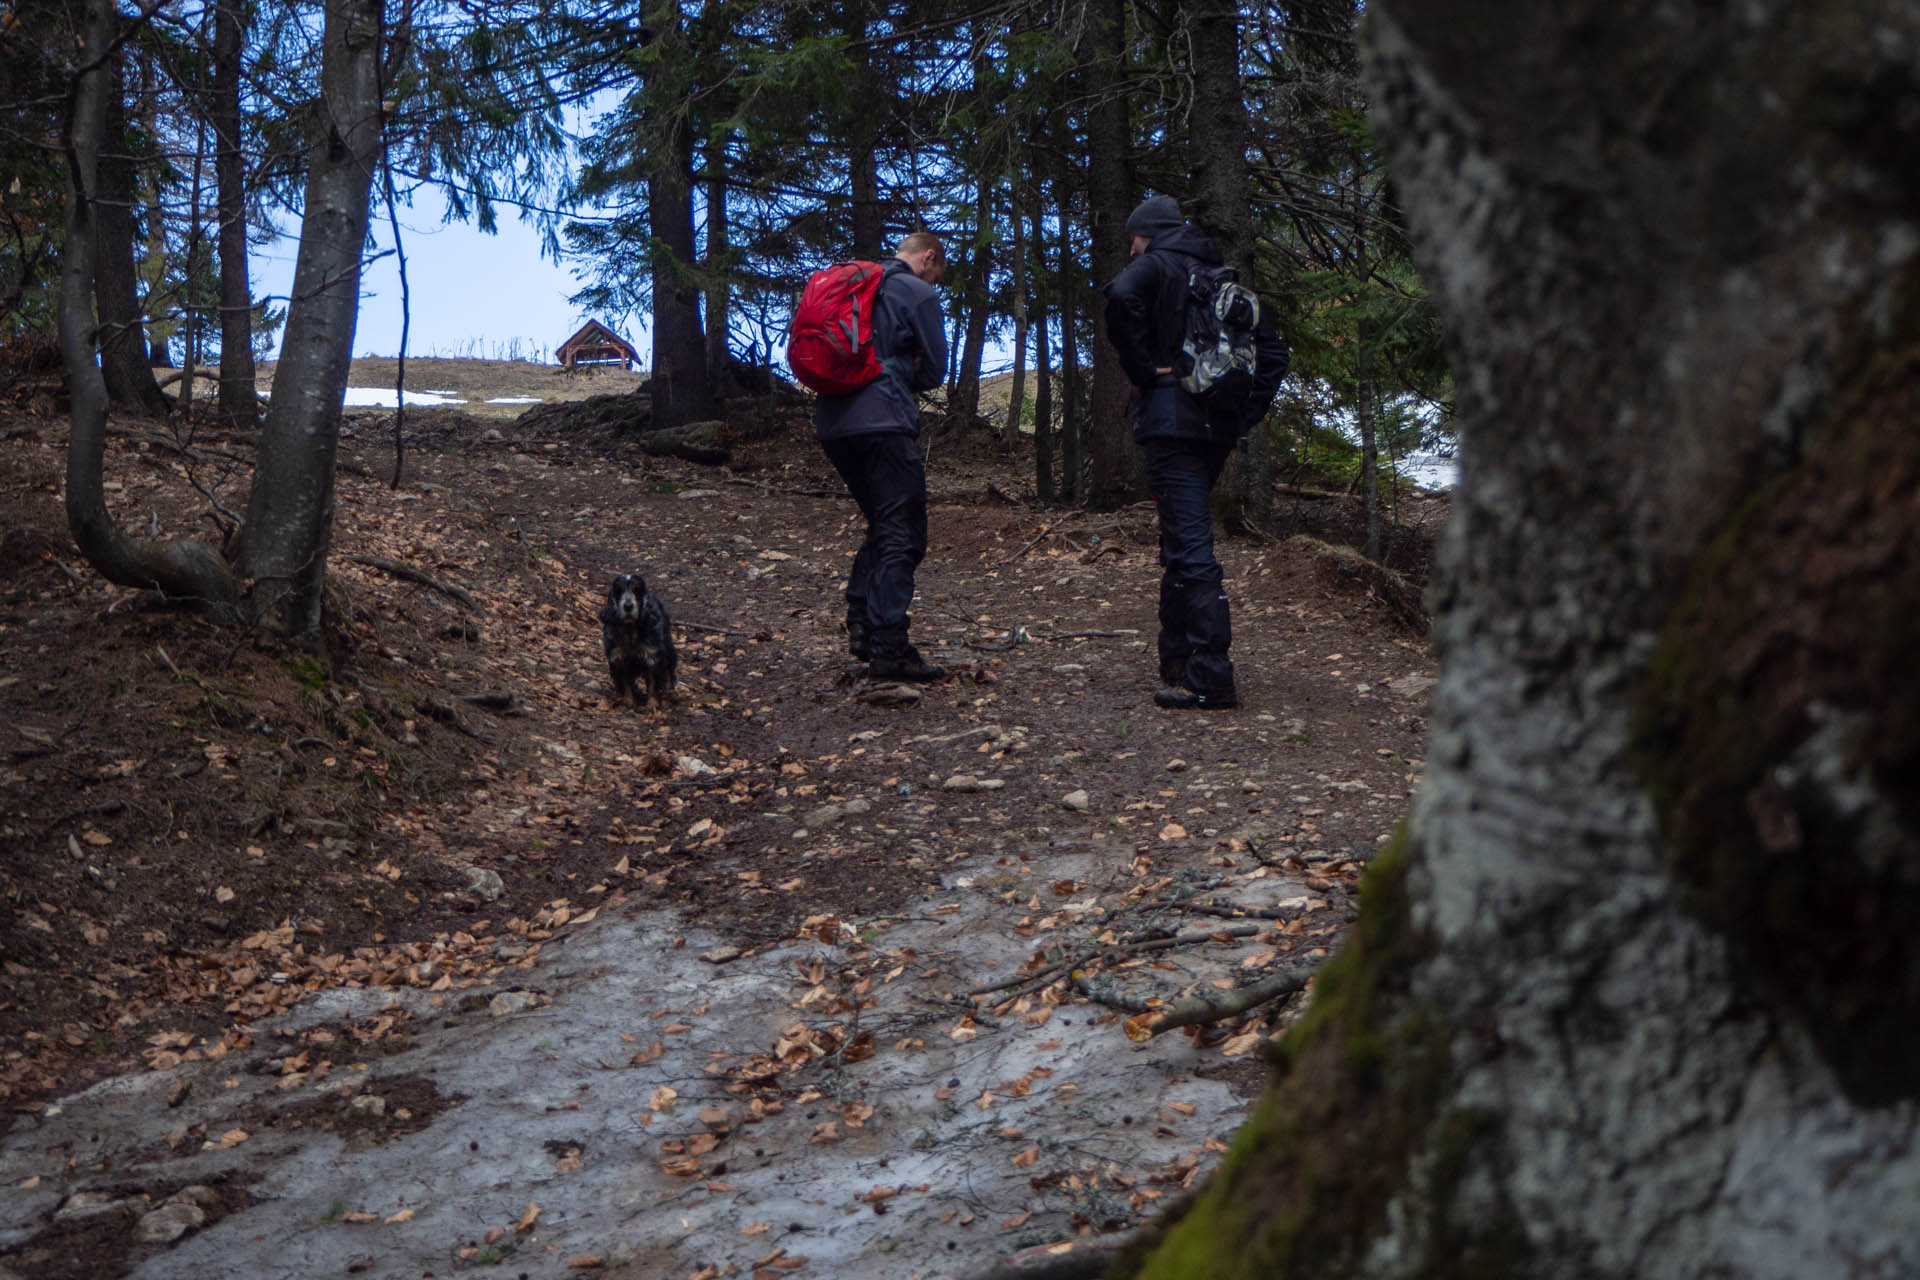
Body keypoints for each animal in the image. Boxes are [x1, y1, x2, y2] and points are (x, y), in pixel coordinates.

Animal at [595, 579, 679, 710]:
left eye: (636, 589)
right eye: (619, 589)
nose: (628, 606)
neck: (630, 628)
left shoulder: (651, 656)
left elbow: (652, 682)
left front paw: (651, 703)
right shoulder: (619, 658)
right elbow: (625, 682)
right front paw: (628, 701)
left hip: (668, 647)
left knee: (669, 670)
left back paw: (671, 693)